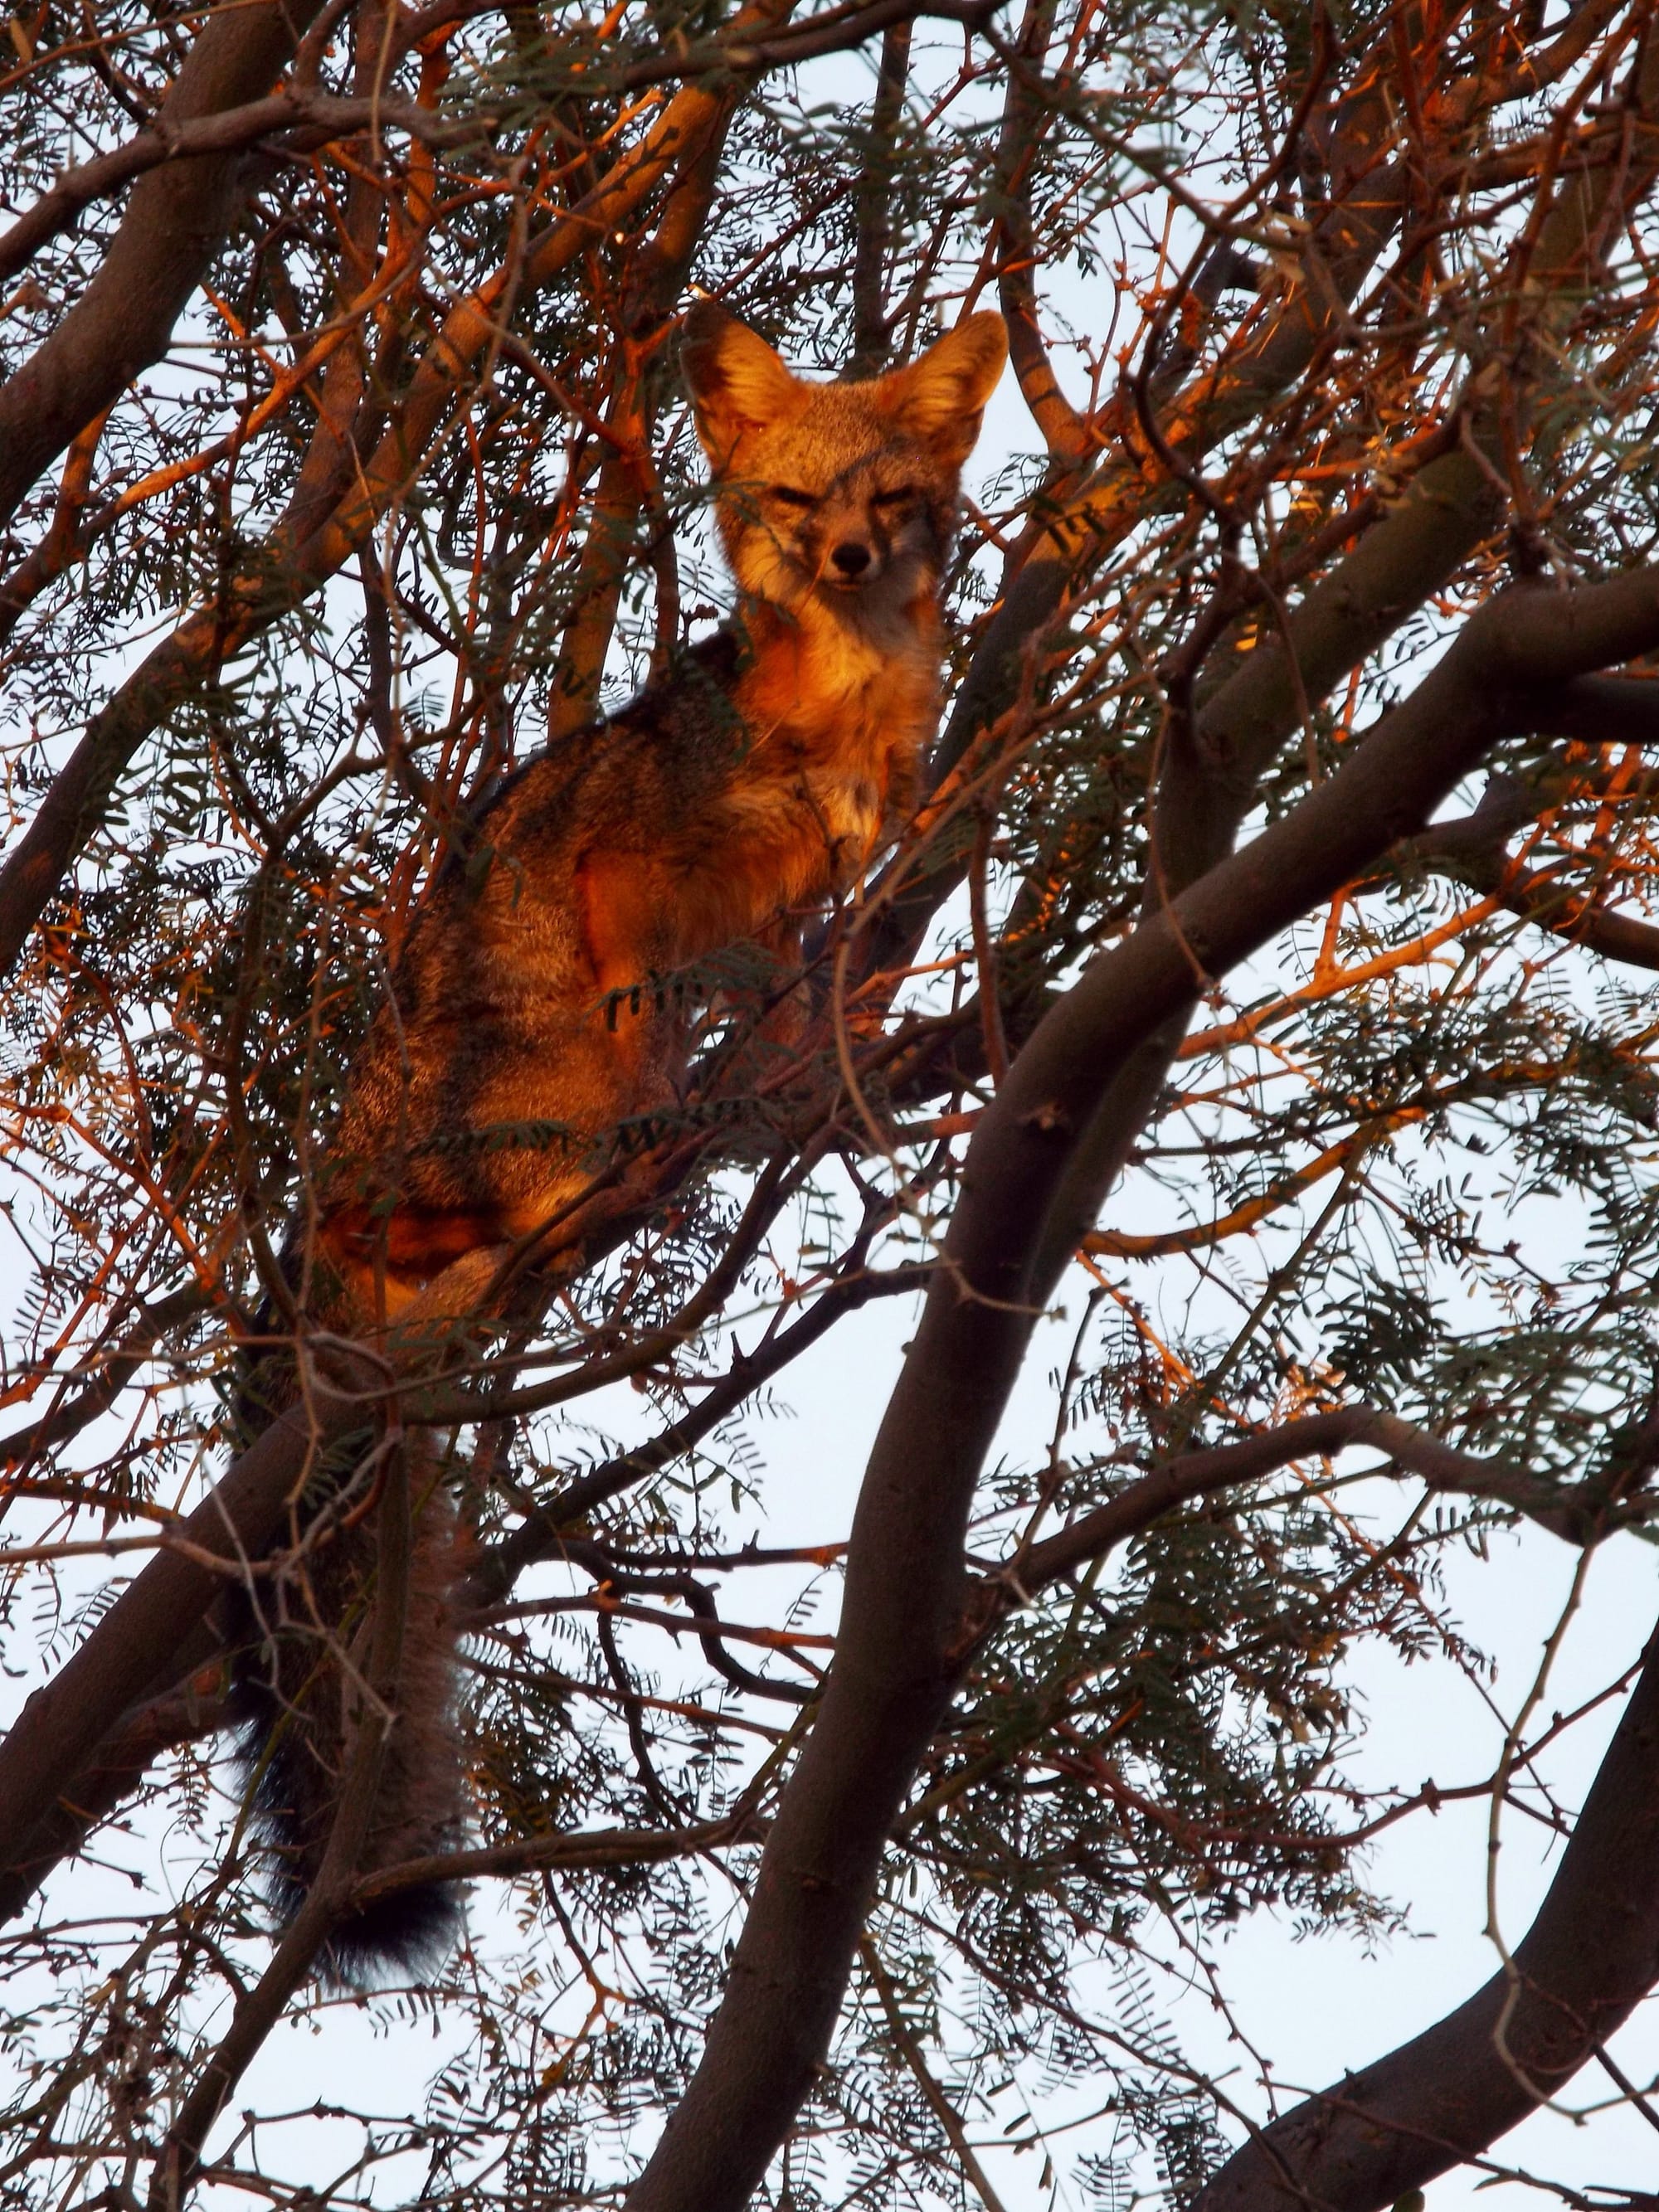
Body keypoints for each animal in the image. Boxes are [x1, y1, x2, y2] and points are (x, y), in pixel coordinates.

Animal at [232, 301, 1009, 1983]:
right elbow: (674, 986)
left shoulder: (814, 899)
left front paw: (826, 1066)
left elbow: (811, 979)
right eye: (796, 500)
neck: (834, 701)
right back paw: (576, 1195)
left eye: (889, 495)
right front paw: (719, 1101)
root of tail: (315, 1200)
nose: (850, 555)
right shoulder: (636, 880)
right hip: (542, 1067)